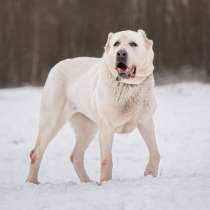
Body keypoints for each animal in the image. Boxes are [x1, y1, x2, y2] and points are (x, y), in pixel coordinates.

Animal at [27, 29, 160, 184]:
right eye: (116, 44)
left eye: (133, 44)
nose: (121, 53)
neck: (128, 86)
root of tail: (57, 66)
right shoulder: (107, 128)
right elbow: (107, 160)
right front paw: (105, 183)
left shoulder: (146, 122)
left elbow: (155, 153)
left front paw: (150, 174)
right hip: (52, 122)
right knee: (36, 153)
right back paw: (31, 182)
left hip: (88, 128)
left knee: (76, 156)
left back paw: (87, 182)